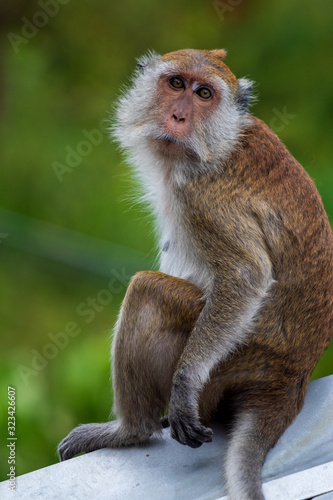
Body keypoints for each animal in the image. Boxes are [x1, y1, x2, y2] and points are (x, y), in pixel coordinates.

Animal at [57, 47, 332, 500]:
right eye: (176, 84)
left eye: (204, 94)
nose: (179, 116)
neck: (218, 142)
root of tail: (291, 378)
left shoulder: (203, 196)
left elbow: (245, 274)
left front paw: (183, 386)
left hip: (232, 364)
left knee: (147, 291)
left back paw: (130, 431)